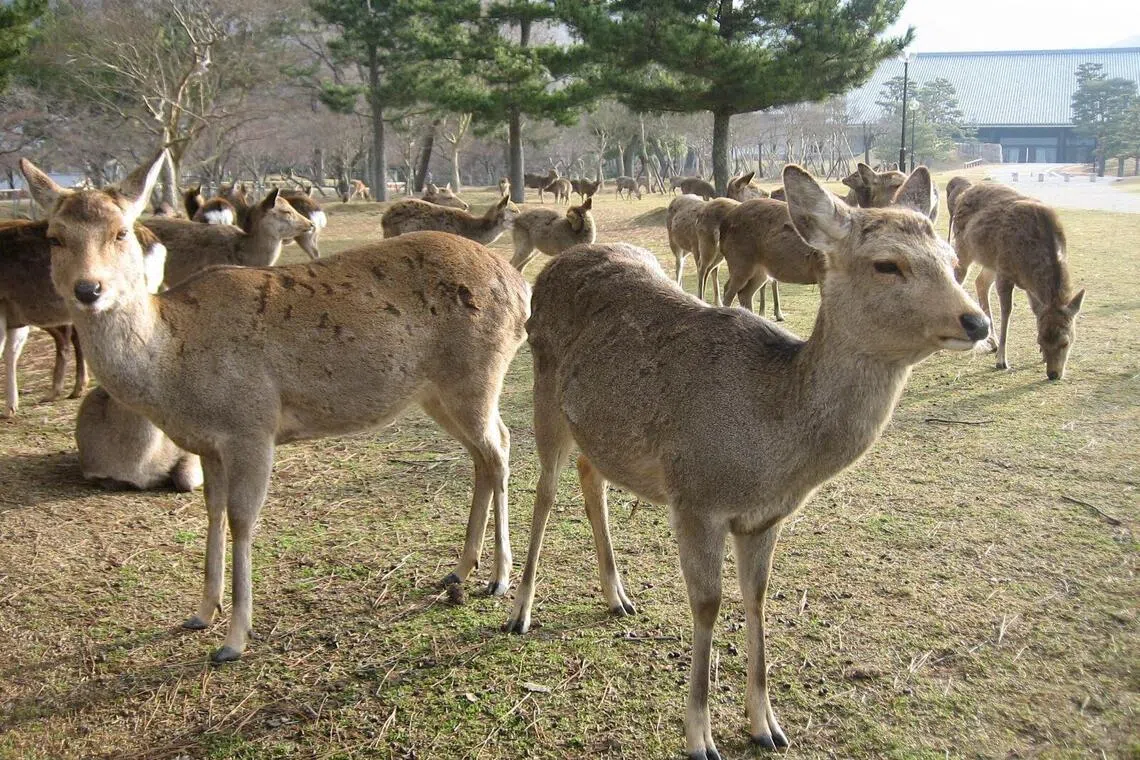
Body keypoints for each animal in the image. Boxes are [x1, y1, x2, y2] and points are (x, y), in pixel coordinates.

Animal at [503, 164, 990, 759]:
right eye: (887, 264)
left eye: (949, 254)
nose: (977, 322)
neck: (771, 452)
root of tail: (558, 263)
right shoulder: (695, 499)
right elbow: (708, 604)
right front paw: (700, 737)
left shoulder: (764, 518)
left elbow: (756, 598)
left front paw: (766, 725)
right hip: (544, 390)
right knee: (545, 491)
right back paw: (520, 611)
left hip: (597, 426)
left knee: (591, 479)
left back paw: (617, 596)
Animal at [949, 179, 1085, 380]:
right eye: (1040, 339)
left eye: (1066, 342)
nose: (1053, 374)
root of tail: (964, 193)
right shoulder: (1004, 271)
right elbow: (1007, 311)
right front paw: (1001, 361)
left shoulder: (1002, 268)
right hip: (963, 247)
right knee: (957, 277)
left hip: (990, 260)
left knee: (980, 282)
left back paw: (992, 341)